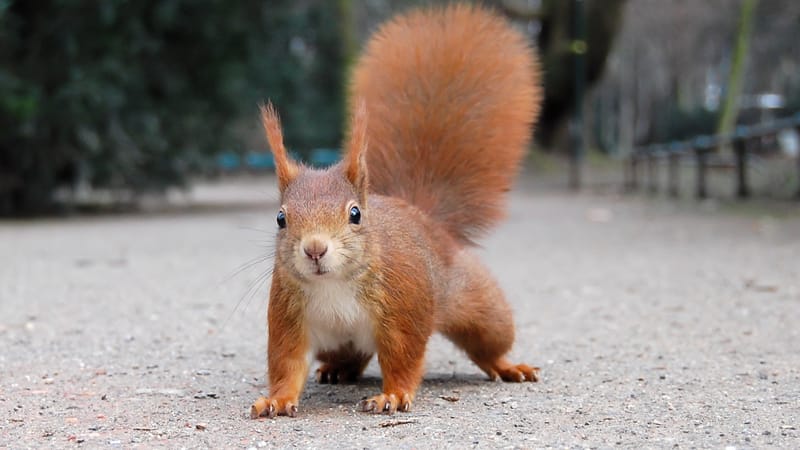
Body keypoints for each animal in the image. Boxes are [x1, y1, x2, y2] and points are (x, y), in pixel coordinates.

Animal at [250, 4, 542, 419]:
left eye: (356, 214)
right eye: (280, 218)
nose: (315, 249)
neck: (333, 284)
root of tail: (424, 217)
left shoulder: (403, 309)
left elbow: (402, 358)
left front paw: (392, 395)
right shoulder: (289, 317)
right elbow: (286, 364)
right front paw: (276, 399)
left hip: (480, 306)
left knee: (489, 343)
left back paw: (507, 366)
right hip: (337, 341)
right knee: (351, 355)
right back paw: (337, 370)